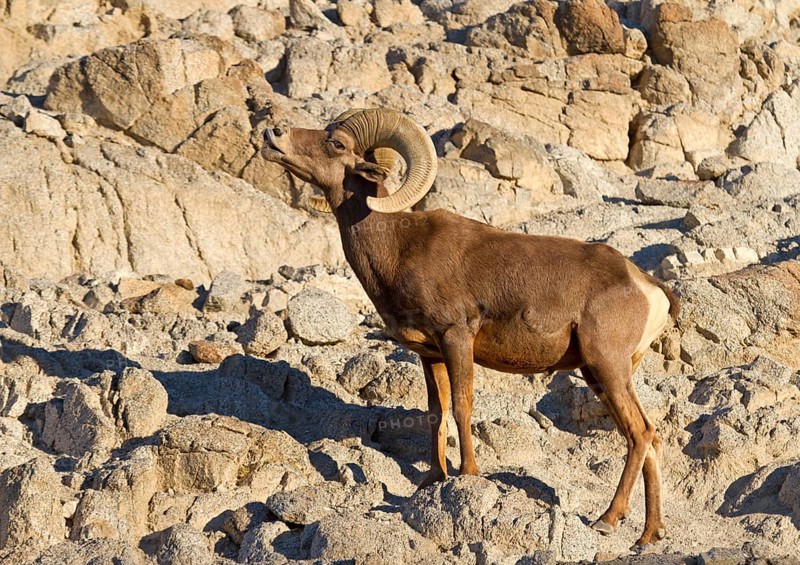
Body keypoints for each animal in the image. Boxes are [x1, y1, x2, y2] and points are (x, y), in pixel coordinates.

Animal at [261, 108, 680, 548]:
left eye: (337, 143)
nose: (274, 134)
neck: (398, 247)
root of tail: (647, 287)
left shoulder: (456, 338)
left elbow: (462, 407)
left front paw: (467, 474)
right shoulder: (430, 355)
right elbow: (437, 413)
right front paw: (432, 479)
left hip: (607, 367)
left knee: (640, 433)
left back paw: (607, 519)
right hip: (601, 374)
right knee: (650, 439)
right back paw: (649, 535)